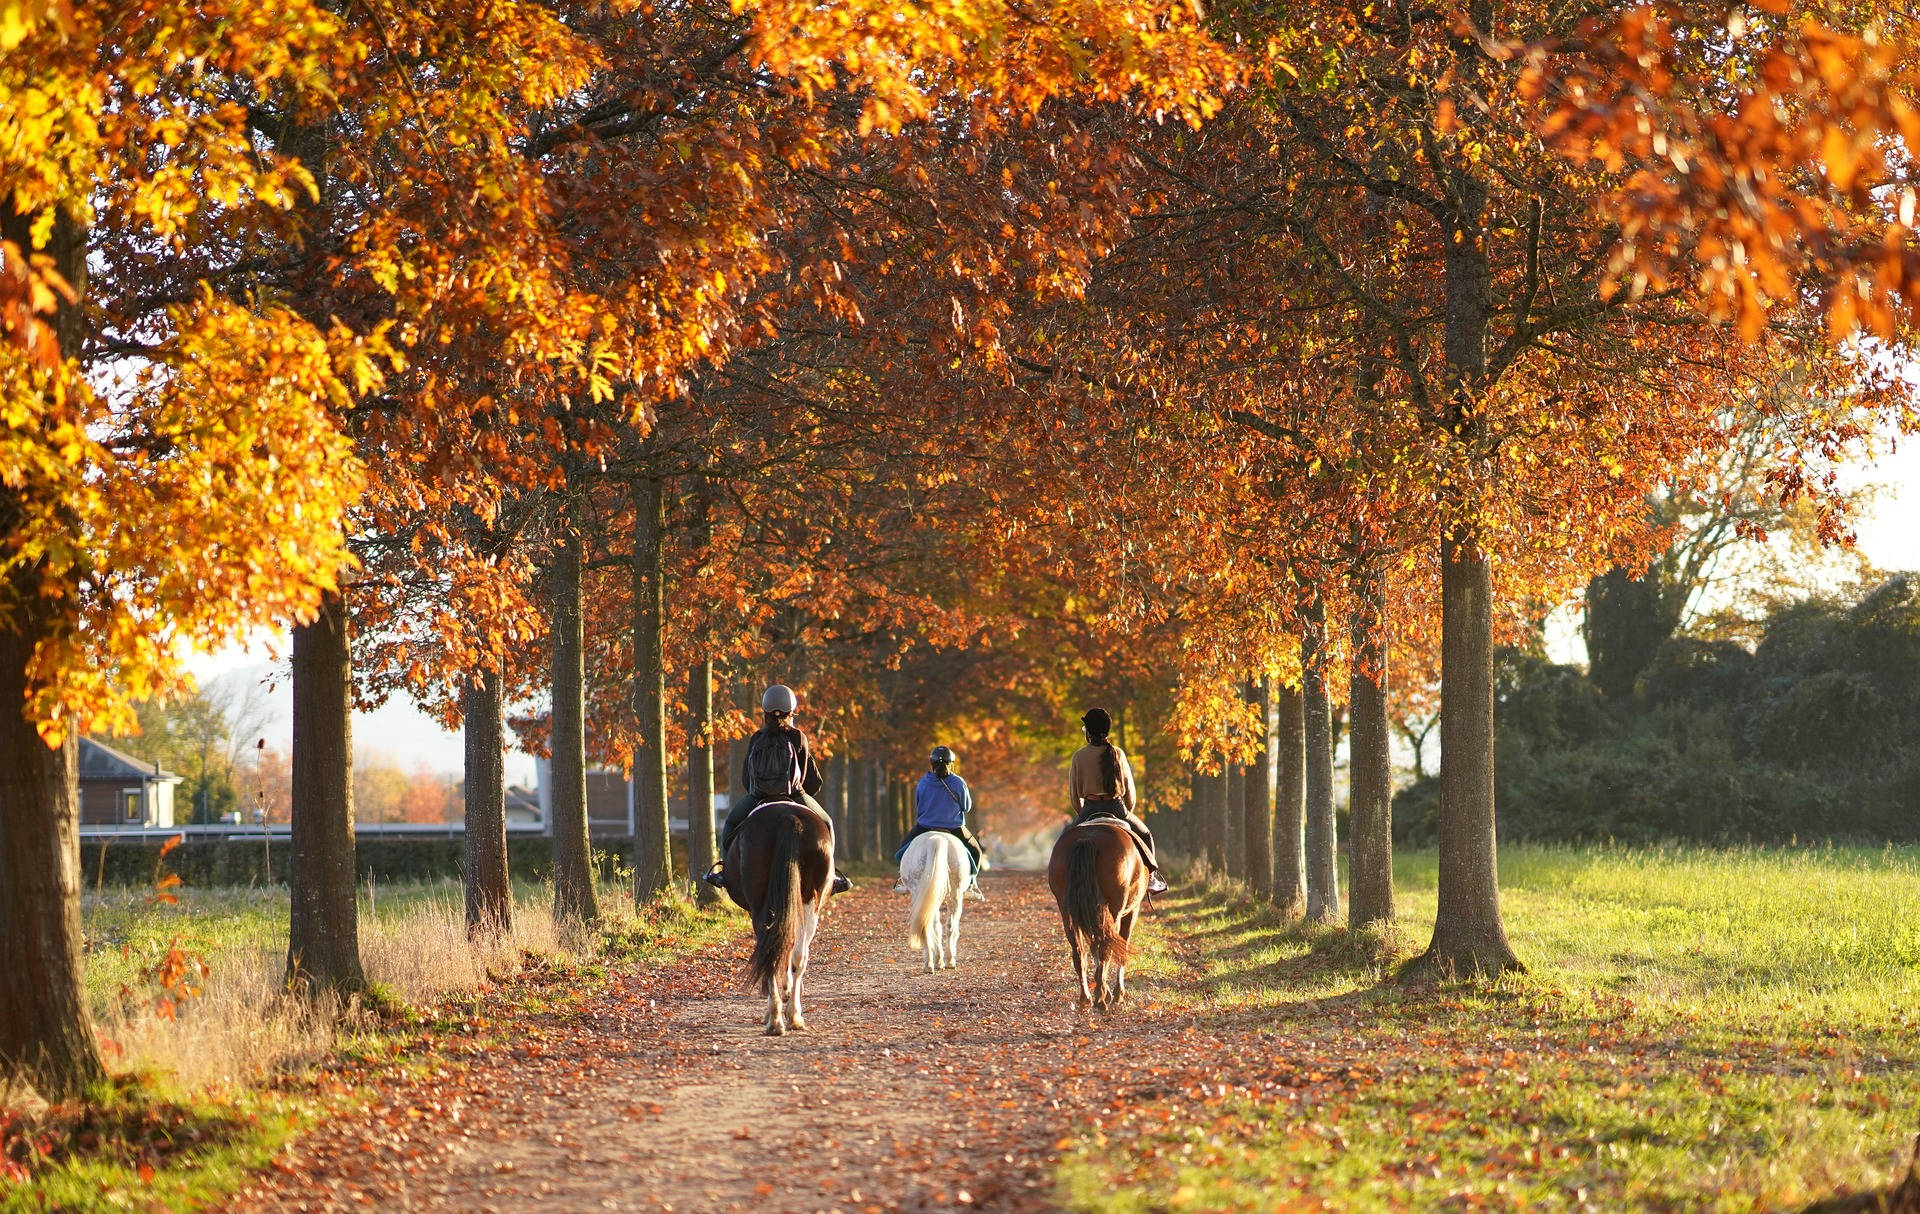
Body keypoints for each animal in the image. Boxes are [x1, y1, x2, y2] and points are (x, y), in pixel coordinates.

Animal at [721, 795, 833, 1037]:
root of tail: (787, 817)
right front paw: (787, 991)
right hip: (810, 903)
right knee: (798, 955)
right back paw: (792, 1016)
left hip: (761, 905)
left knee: (772, 951)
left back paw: (774, 1019)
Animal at [894, 829, 967, 971]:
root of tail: (936, 839)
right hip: (953, 895)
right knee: (947, 926)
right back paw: (946, 960)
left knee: (930, 925)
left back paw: (930, 964)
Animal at [1052, 822, 1136, 1006]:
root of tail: (1088, 838)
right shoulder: (1132, 911)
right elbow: (1122, 950)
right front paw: (1117, 993)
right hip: (1114, 912)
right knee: (1106, 949)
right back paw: (1100, 999)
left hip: (1068, 912)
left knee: (1079, 953)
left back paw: (1087, 996)